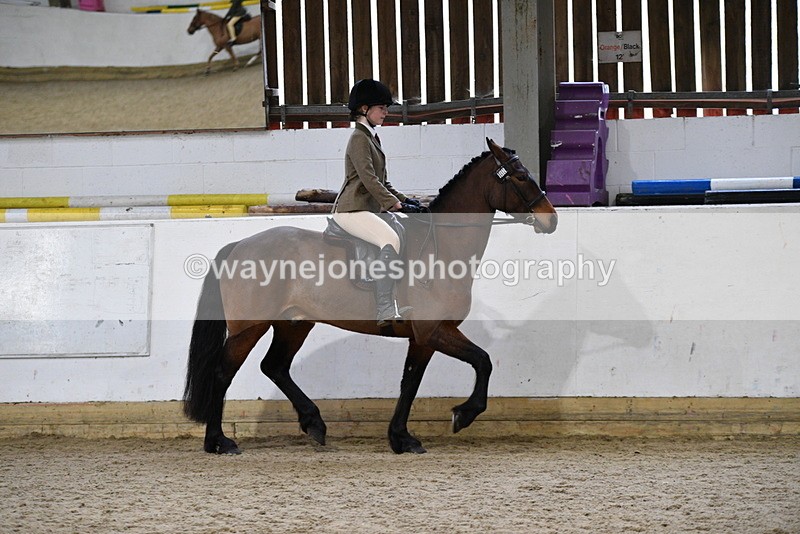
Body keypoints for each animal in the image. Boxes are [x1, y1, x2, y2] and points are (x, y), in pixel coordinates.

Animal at [183, 138, 558, 455]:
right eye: (521, 177)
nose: (551, 220)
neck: (441, 248)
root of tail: (239, 246)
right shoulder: (434, 330)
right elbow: (483, 361)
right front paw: (462, 415)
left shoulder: (423, 337)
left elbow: (411, 381)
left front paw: (401, 437)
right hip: (249, 327)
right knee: (223, 372)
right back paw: (219, 442)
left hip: (294, 324)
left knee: (274, 366)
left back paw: (314, 423)